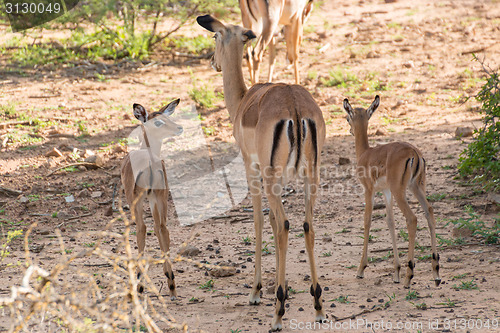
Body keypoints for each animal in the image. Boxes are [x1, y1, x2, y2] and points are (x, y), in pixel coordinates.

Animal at [121, 98, 184, 298]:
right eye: (159, 121)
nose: (179, 127)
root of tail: (150, 161)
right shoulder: (154, 199)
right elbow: (158, 229)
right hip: (160, 197)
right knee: (162, 228)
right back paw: (171, 284)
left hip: (139, 201)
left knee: (142, 228)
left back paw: (139, 285)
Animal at [344, 94, 442, 286]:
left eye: (347, 117)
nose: (350, 130)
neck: (365, 153)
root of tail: (414, 153)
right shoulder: (386, 192)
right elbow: (390, 222)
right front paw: (395, 271)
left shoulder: (369, 190)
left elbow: (367, 221)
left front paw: (361, 269)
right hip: (416, 187)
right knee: (429, 211)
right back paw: (435, 273)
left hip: (400, 192)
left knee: (412, 218)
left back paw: (409, 276)